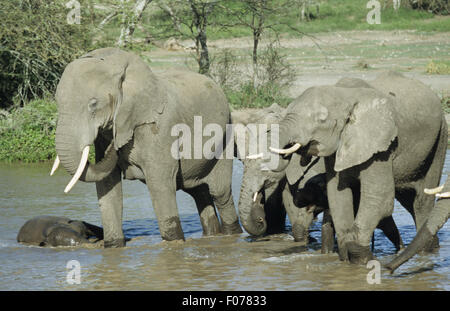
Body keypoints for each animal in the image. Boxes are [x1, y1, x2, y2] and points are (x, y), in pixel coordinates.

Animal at [51, 48, 243, 249]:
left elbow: (159, 182)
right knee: (200, 194)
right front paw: (114, 247)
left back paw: (231, 234)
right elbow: (108, 186)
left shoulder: (160, 129)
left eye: (93, 104)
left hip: (225, 135)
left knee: (220, 193)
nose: (115, 144)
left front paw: (173, 244)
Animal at [256, 72, 446, 264]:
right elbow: (337, 196)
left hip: (440, 139)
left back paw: (426, 251)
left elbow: (379, 199)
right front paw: (347, 258)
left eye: (321, 120)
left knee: (422, 201)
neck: (344, 95)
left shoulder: (380, 146)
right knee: (408, 199)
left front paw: (361, 258)